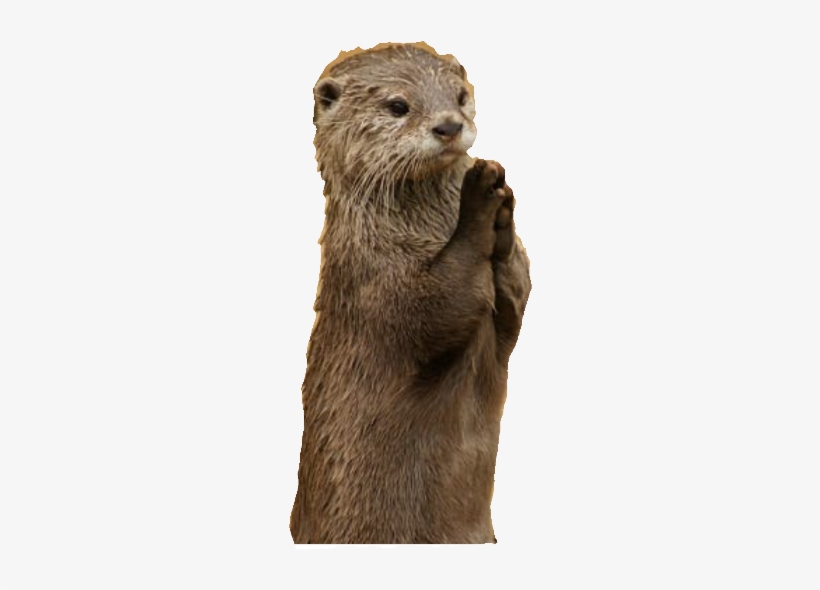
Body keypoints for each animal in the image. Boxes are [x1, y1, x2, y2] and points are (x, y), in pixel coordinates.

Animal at [291, 43, 531, 544]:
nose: (449, 126)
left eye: (460, 96)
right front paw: (479, 198)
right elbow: (441, 304)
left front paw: (503, 212)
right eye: (398, 106)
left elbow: (515, 299)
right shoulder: (375, 279)